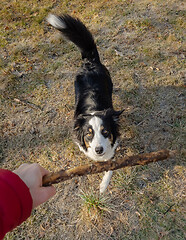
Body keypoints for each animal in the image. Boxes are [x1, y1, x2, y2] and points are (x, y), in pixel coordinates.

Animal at [47, 13, 123, 193]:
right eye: (89, 134)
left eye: (105, 132)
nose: (98, 150)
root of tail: (90, 61)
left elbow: (111, 166)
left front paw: (103, 185)